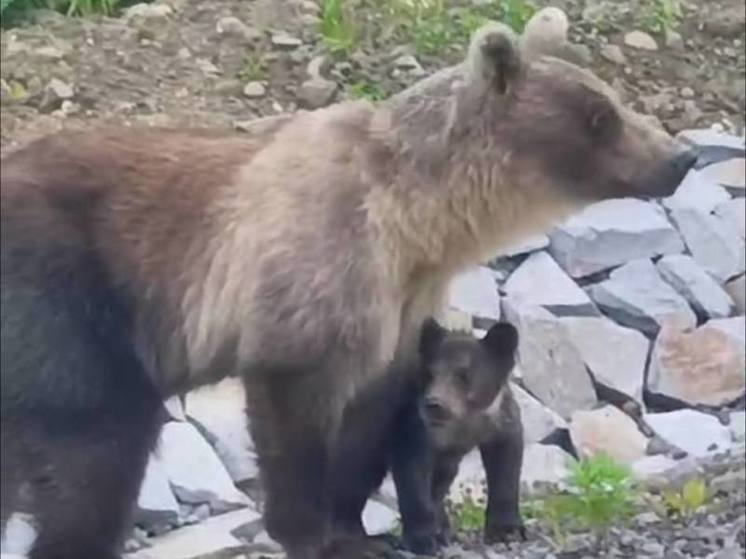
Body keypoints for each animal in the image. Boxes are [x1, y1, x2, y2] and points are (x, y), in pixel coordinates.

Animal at [0, 8, 696, 559]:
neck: (419, 218)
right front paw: (319, 535)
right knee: (101, 444)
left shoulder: (405, 299)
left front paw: (357, 524)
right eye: (600, 116)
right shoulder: (319, 266)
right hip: (64, 296)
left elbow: (371, 418)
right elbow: (297, 408)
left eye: (611, 100)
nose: (681, 156)